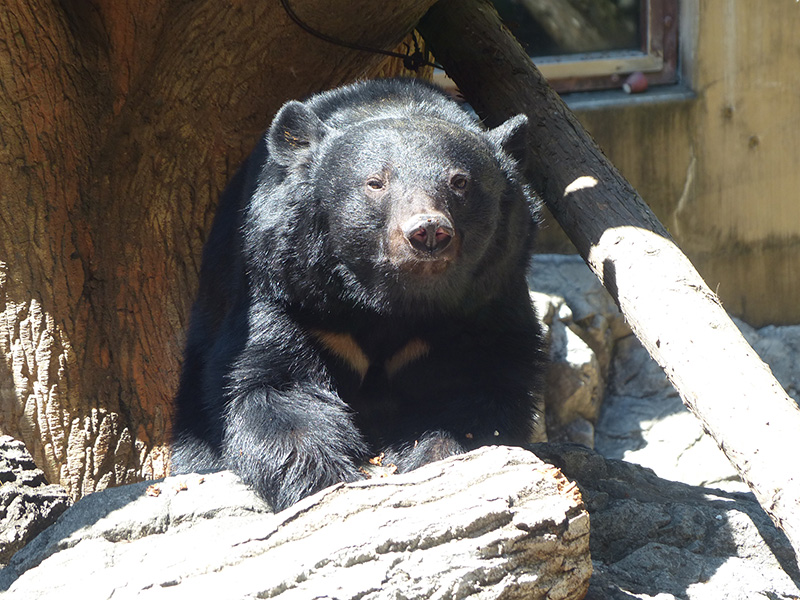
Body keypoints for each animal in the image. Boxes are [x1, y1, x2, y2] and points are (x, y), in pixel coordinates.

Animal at [172, 78, 548, 510]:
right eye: (376, 182)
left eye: (460, 181)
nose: (428, 232)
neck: (391, 304)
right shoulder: (292, 295)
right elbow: (272, 389)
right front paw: (324, 479)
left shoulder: (485, 306)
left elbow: (476, 387)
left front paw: (435, 458)